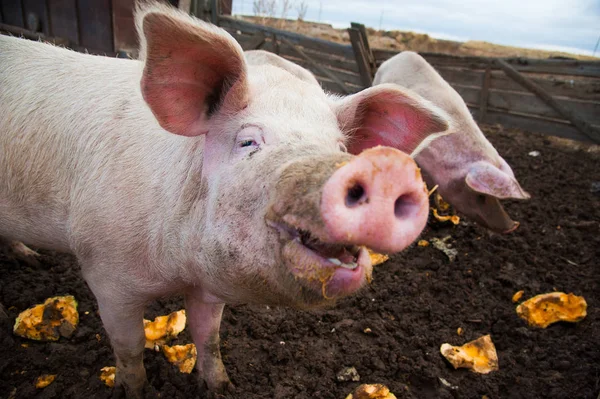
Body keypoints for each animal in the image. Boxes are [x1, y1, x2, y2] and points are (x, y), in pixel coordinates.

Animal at [0, 3, 450, 396]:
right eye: (248, 141)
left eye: (339, 146)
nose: (387, 171)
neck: (178, 266)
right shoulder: (105, 271)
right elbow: (129, 347)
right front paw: (131, 391)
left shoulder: (206, 289)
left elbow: (209, 337)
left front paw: (222, 387)